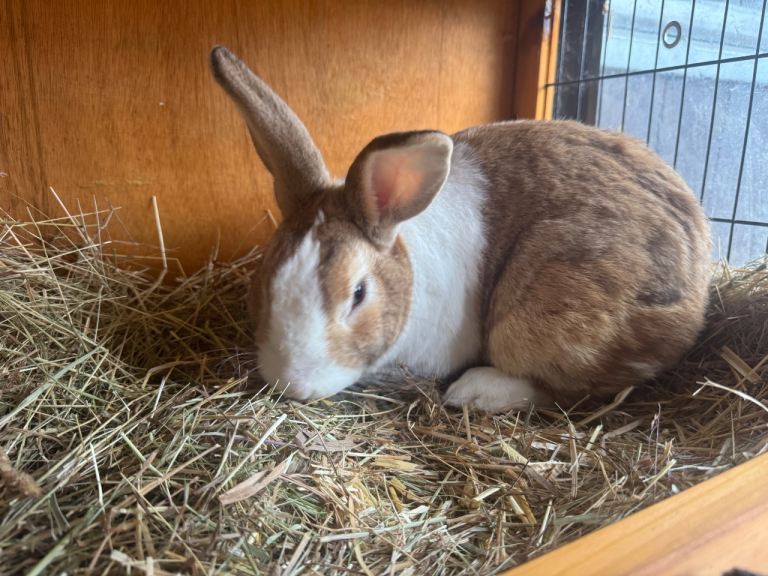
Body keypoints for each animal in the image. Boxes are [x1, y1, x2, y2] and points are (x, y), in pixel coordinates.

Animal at [209, 45, 712, 413]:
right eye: (265, 278)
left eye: (358, 294)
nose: (291, 384)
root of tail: (698, 284)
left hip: (552, 314)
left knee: (568, 389)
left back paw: (475, 391)